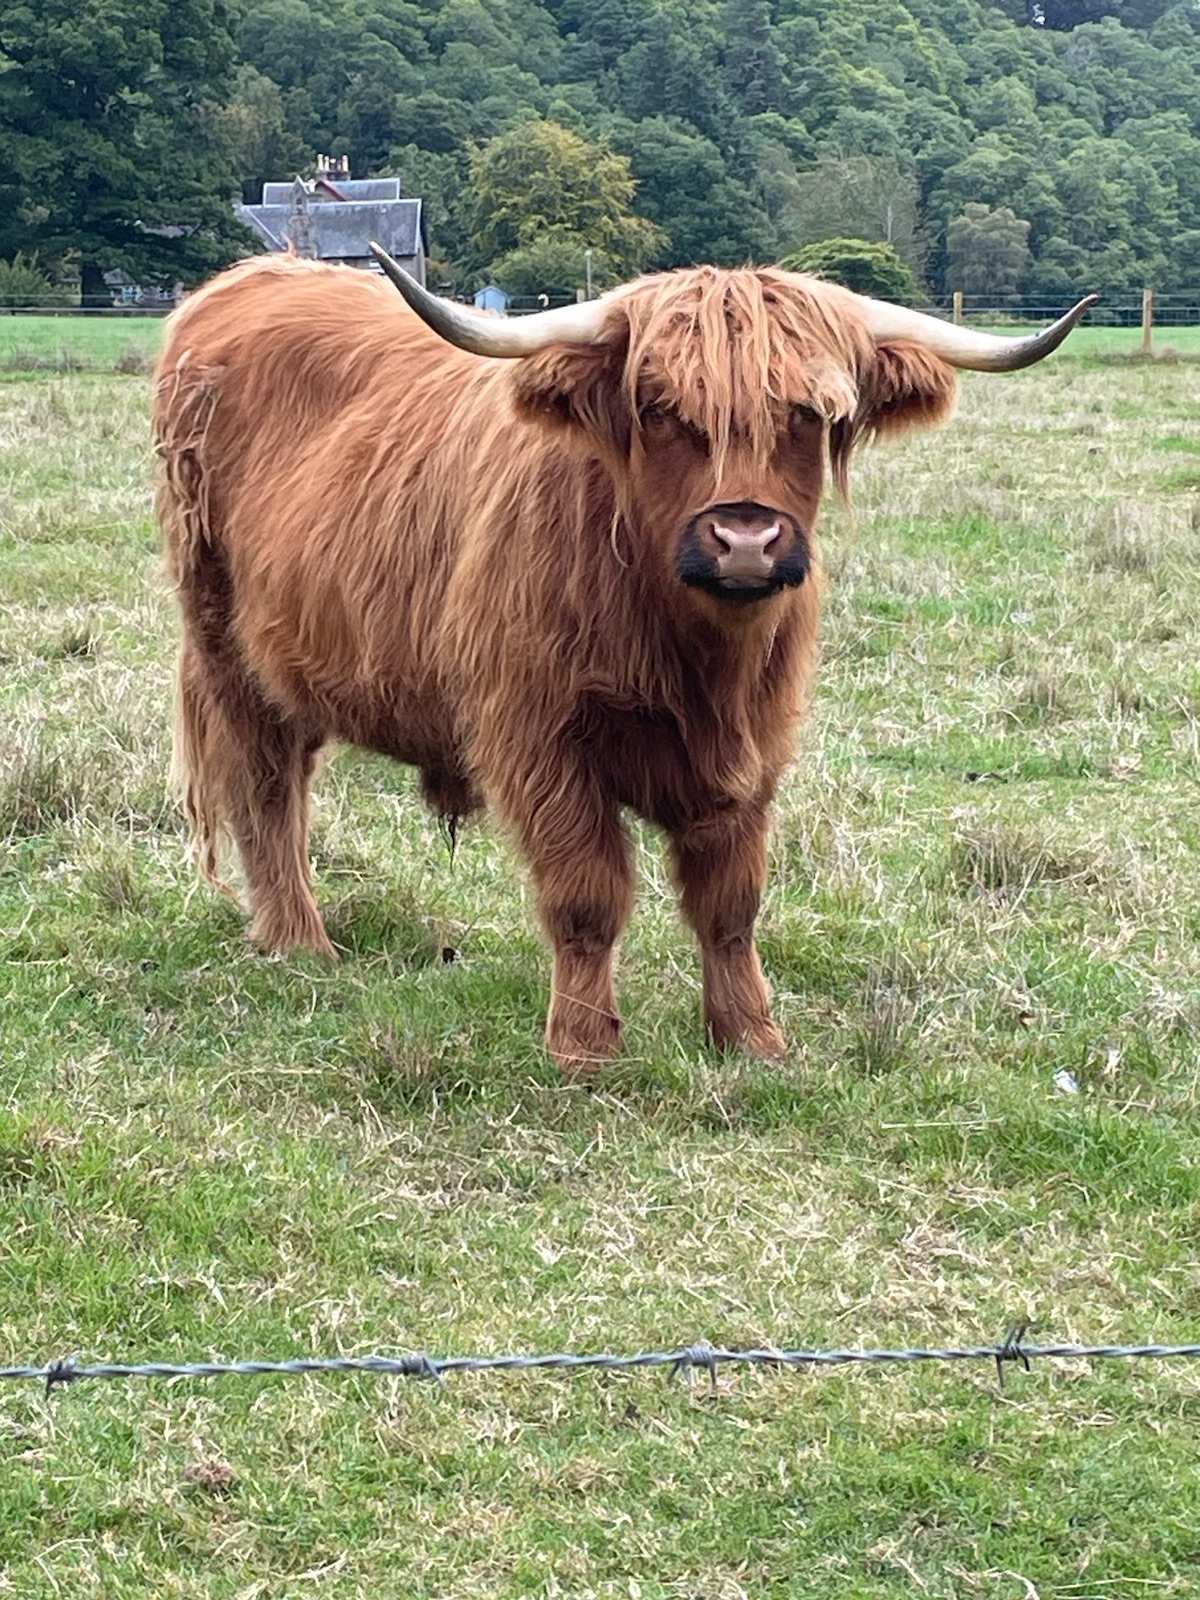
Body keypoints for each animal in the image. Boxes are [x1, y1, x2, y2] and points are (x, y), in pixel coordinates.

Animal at [154, 248, 1092, 1073]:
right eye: (661, 410)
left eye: (810, 414)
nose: (744, 539)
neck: (695, 654)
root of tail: (248, 278)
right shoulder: (540, 740)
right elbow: (587, 895)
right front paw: (583, 1046)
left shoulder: (757, 748)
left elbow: (730, 903)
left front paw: (752, 1037)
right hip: (223, 641)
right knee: (265, 786)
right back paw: (299, 942)